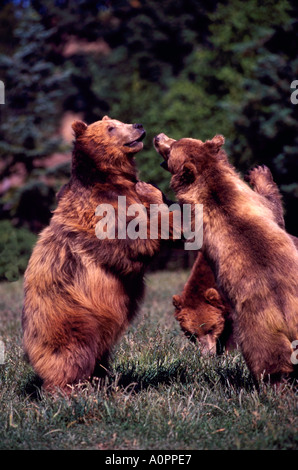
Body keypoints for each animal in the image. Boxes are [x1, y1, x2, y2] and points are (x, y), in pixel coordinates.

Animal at [22, 115, 168, 392]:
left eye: (119, 121)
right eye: (111, 128)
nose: (138, 126)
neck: (109, 177)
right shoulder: (105, 214)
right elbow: (137, 238)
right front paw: (153, 197)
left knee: (100, 353)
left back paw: (101, 381)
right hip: (71, 314)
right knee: (73, 353)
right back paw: (69, 389)